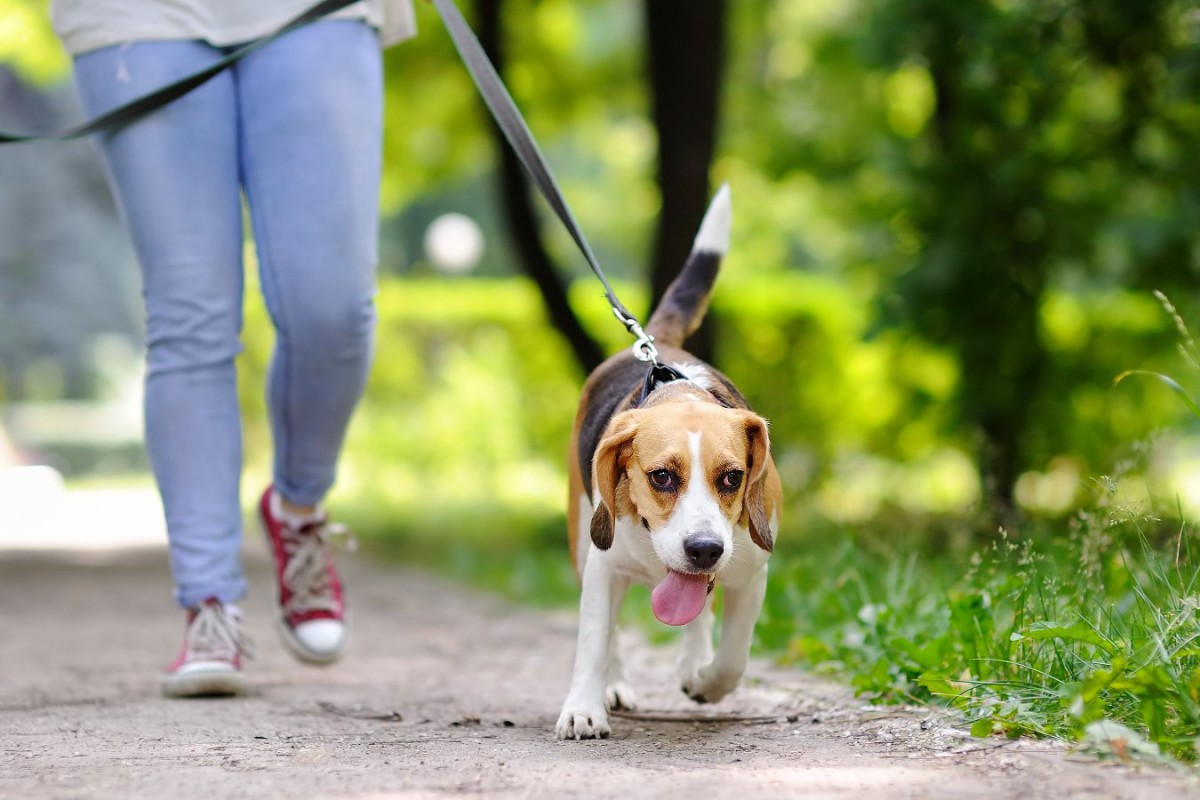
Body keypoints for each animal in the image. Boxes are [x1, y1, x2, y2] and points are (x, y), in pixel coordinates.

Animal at [554, 184, 782, 743]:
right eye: (661, 476)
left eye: (733, 478)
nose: (703, 548)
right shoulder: (603, 566)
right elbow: (594, 639)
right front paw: (584, 707)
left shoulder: (752, 570)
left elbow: (733, 658)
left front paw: (705, 679)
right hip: (583, 541)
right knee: (611, 631)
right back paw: (613, 686)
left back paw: (693, 661)